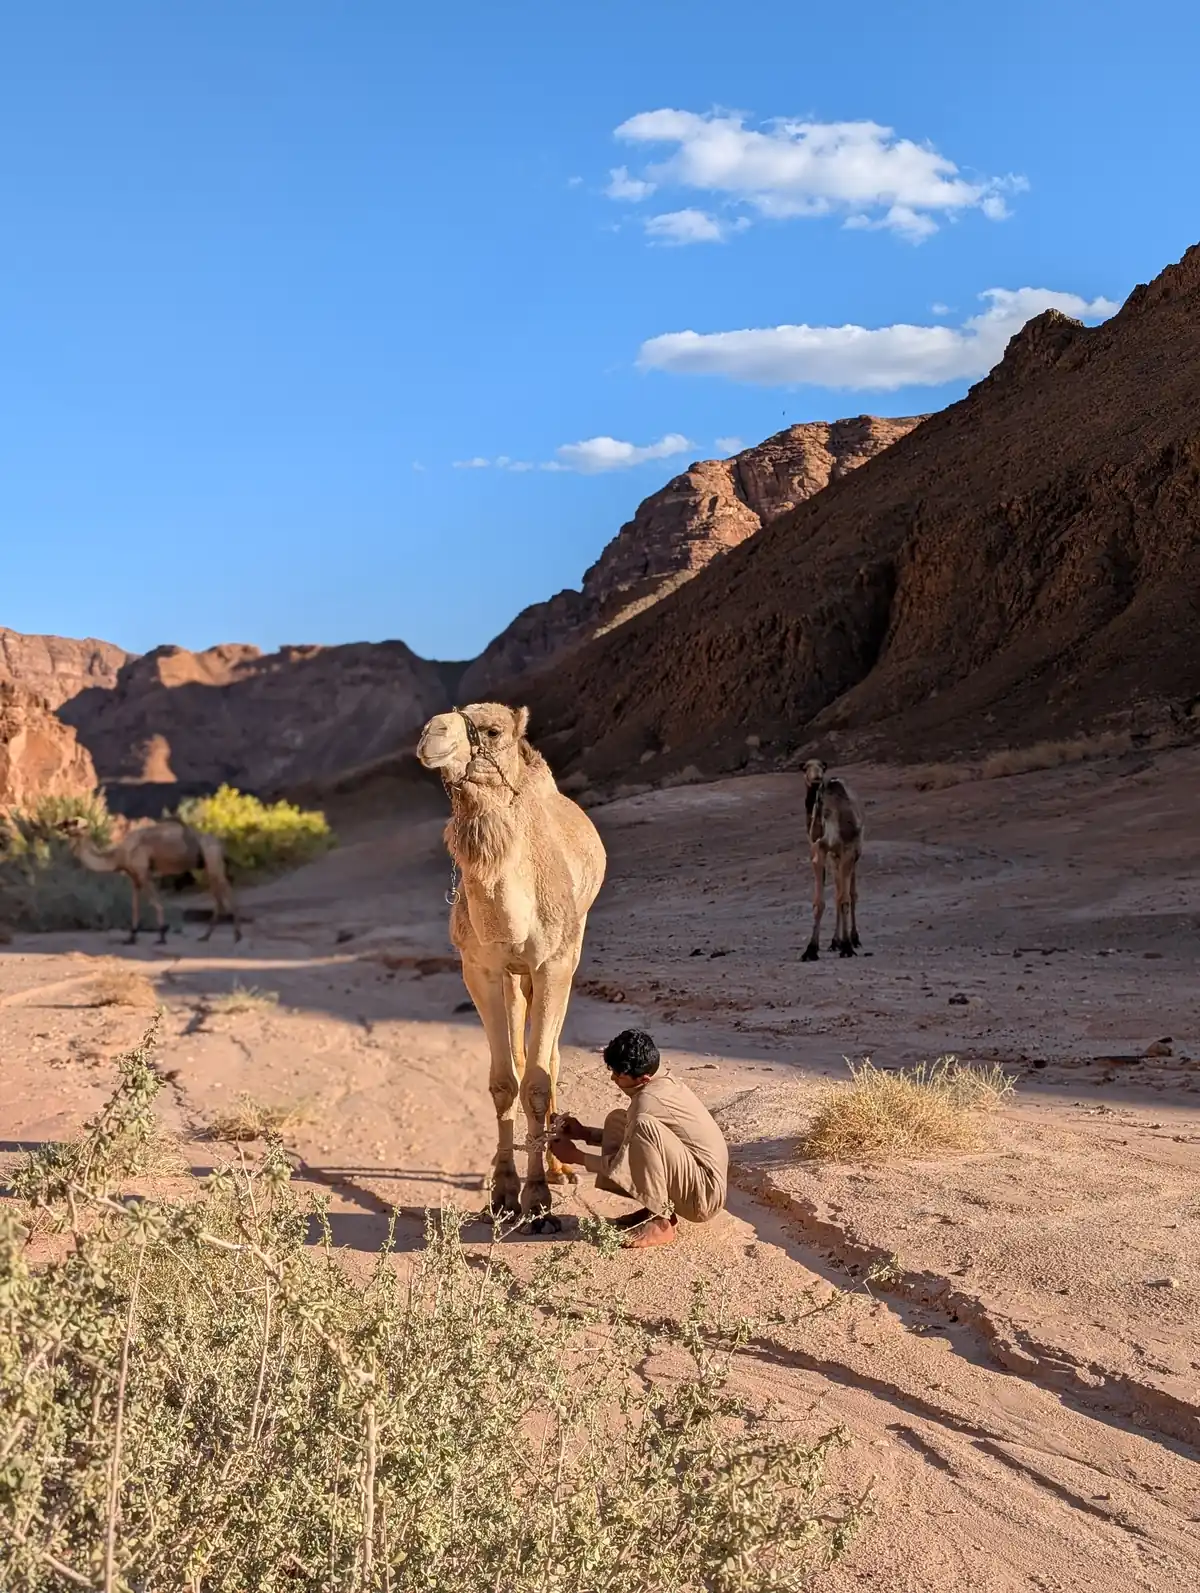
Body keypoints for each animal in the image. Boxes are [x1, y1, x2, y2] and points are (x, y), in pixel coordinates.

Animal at [57, 817, 240, 945]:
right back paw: (206, 936)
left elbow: (155, 902)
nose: (58, 825)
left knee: (227, 890)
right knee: (219, 895)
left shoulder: (144, 873)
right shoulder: (134, 877)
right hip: (207, 866)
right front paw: (131, 938)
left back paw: (237, 935)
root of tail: (220, 843)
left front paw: (162, 936)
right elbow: (135, 906)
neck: (118, 856)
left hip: (213, 859)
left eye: (71, 821)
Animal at [417, 703, 606, 1227]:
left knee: (551, 1058)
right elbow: (505, 1081)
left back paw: (560, 1167)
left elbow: (538, 1082)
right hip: (513, 976)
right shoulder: (479, 968)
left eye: (493, 731)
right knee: (523, 1056)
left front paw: (538, 1198)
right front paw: (503, 1192)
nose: (430, 734)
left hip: (569, 948)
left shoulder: (554, 963)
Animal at [800, 759, 864, 961]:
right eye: (806, 768)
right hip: (838, 857)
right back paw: (839, 942)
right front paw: (813, 949)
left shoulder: (845, 851)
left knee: (849, 894)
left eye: (821, 766)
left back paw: (853, 939)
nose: (816, 779)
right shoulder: (822, 852)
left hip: (853, 854)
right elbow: (824, 901)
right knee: (840, 892)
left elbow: (842, 899)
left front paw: (847, 947)